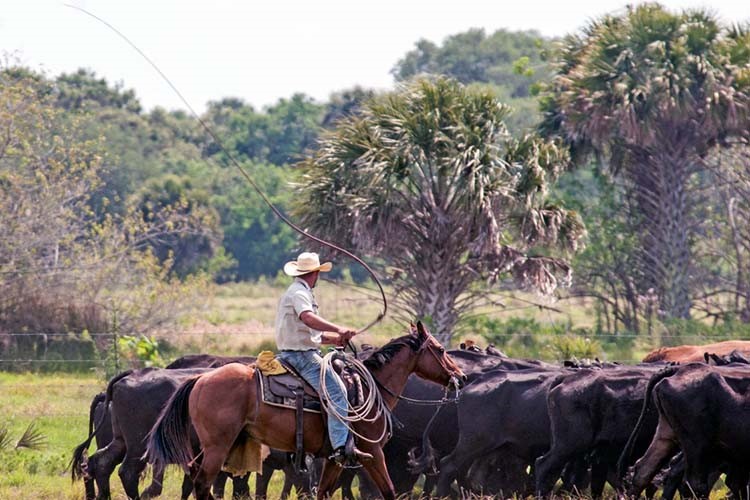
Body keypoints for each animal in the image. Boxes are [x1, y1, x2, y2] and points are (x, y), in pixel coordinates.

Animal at [146, 322, 464, 498]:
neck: (370, 386)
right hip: (217, 446)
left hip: (207, 447)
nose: (460, 376)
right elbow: (388, 491)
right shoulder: (372, 452)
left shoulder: (336, 458)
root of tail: (200, 378)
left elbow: (322, 492)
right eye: (440, 349)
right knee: (202, 484)